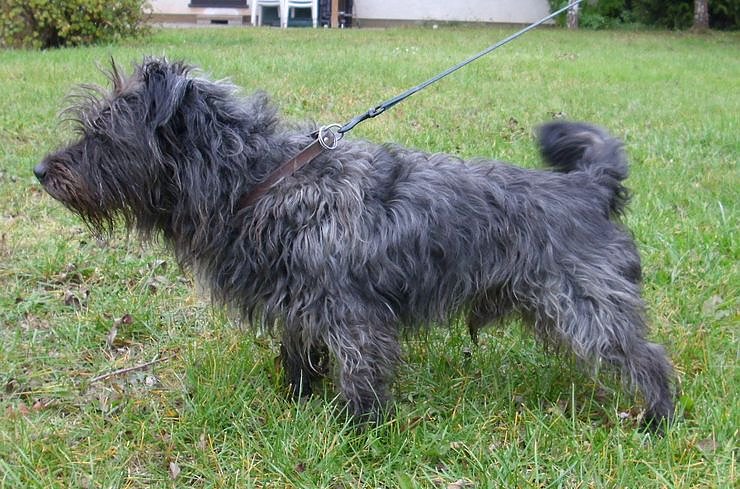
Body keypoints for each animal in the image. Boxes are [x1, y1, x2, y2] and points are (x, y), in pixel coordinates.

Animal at [34, 58, 676, 430]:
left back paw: (656, 418)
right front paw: (295, 400)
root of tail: (586, 187)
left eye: (103, 134)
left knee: (650, 359)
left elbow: (361, 371)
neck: (261, 180)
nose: (41, 171)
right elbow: (298, 353)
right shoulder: (296, 305)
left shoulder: (352, 315)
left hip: (586, 307)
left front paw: (354, 428)